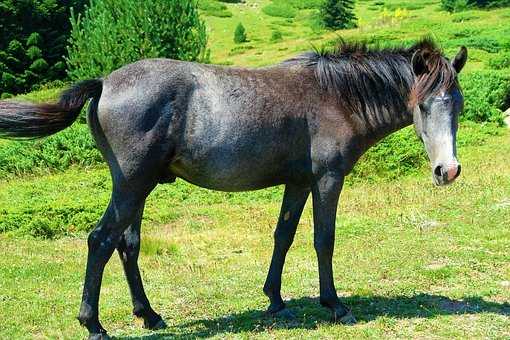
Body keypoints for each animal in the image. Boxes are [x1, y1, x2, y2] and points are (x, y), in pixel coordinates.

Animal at [0, 38, 466, 338]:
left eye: (457, 104)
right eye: (423, 103)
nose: (448, 170)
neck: (335, 97)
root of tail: (104, 82)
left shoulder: (298, 182)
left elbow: (283, 235)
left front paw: (274, 298)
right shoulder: (327, 179)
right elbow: (323, 239)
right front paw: (335, 304)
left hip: (138, 188)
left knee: (126, 244)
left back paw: (149, 315)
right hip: (132, 185)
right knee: (100, 240)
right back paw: (93, 324)